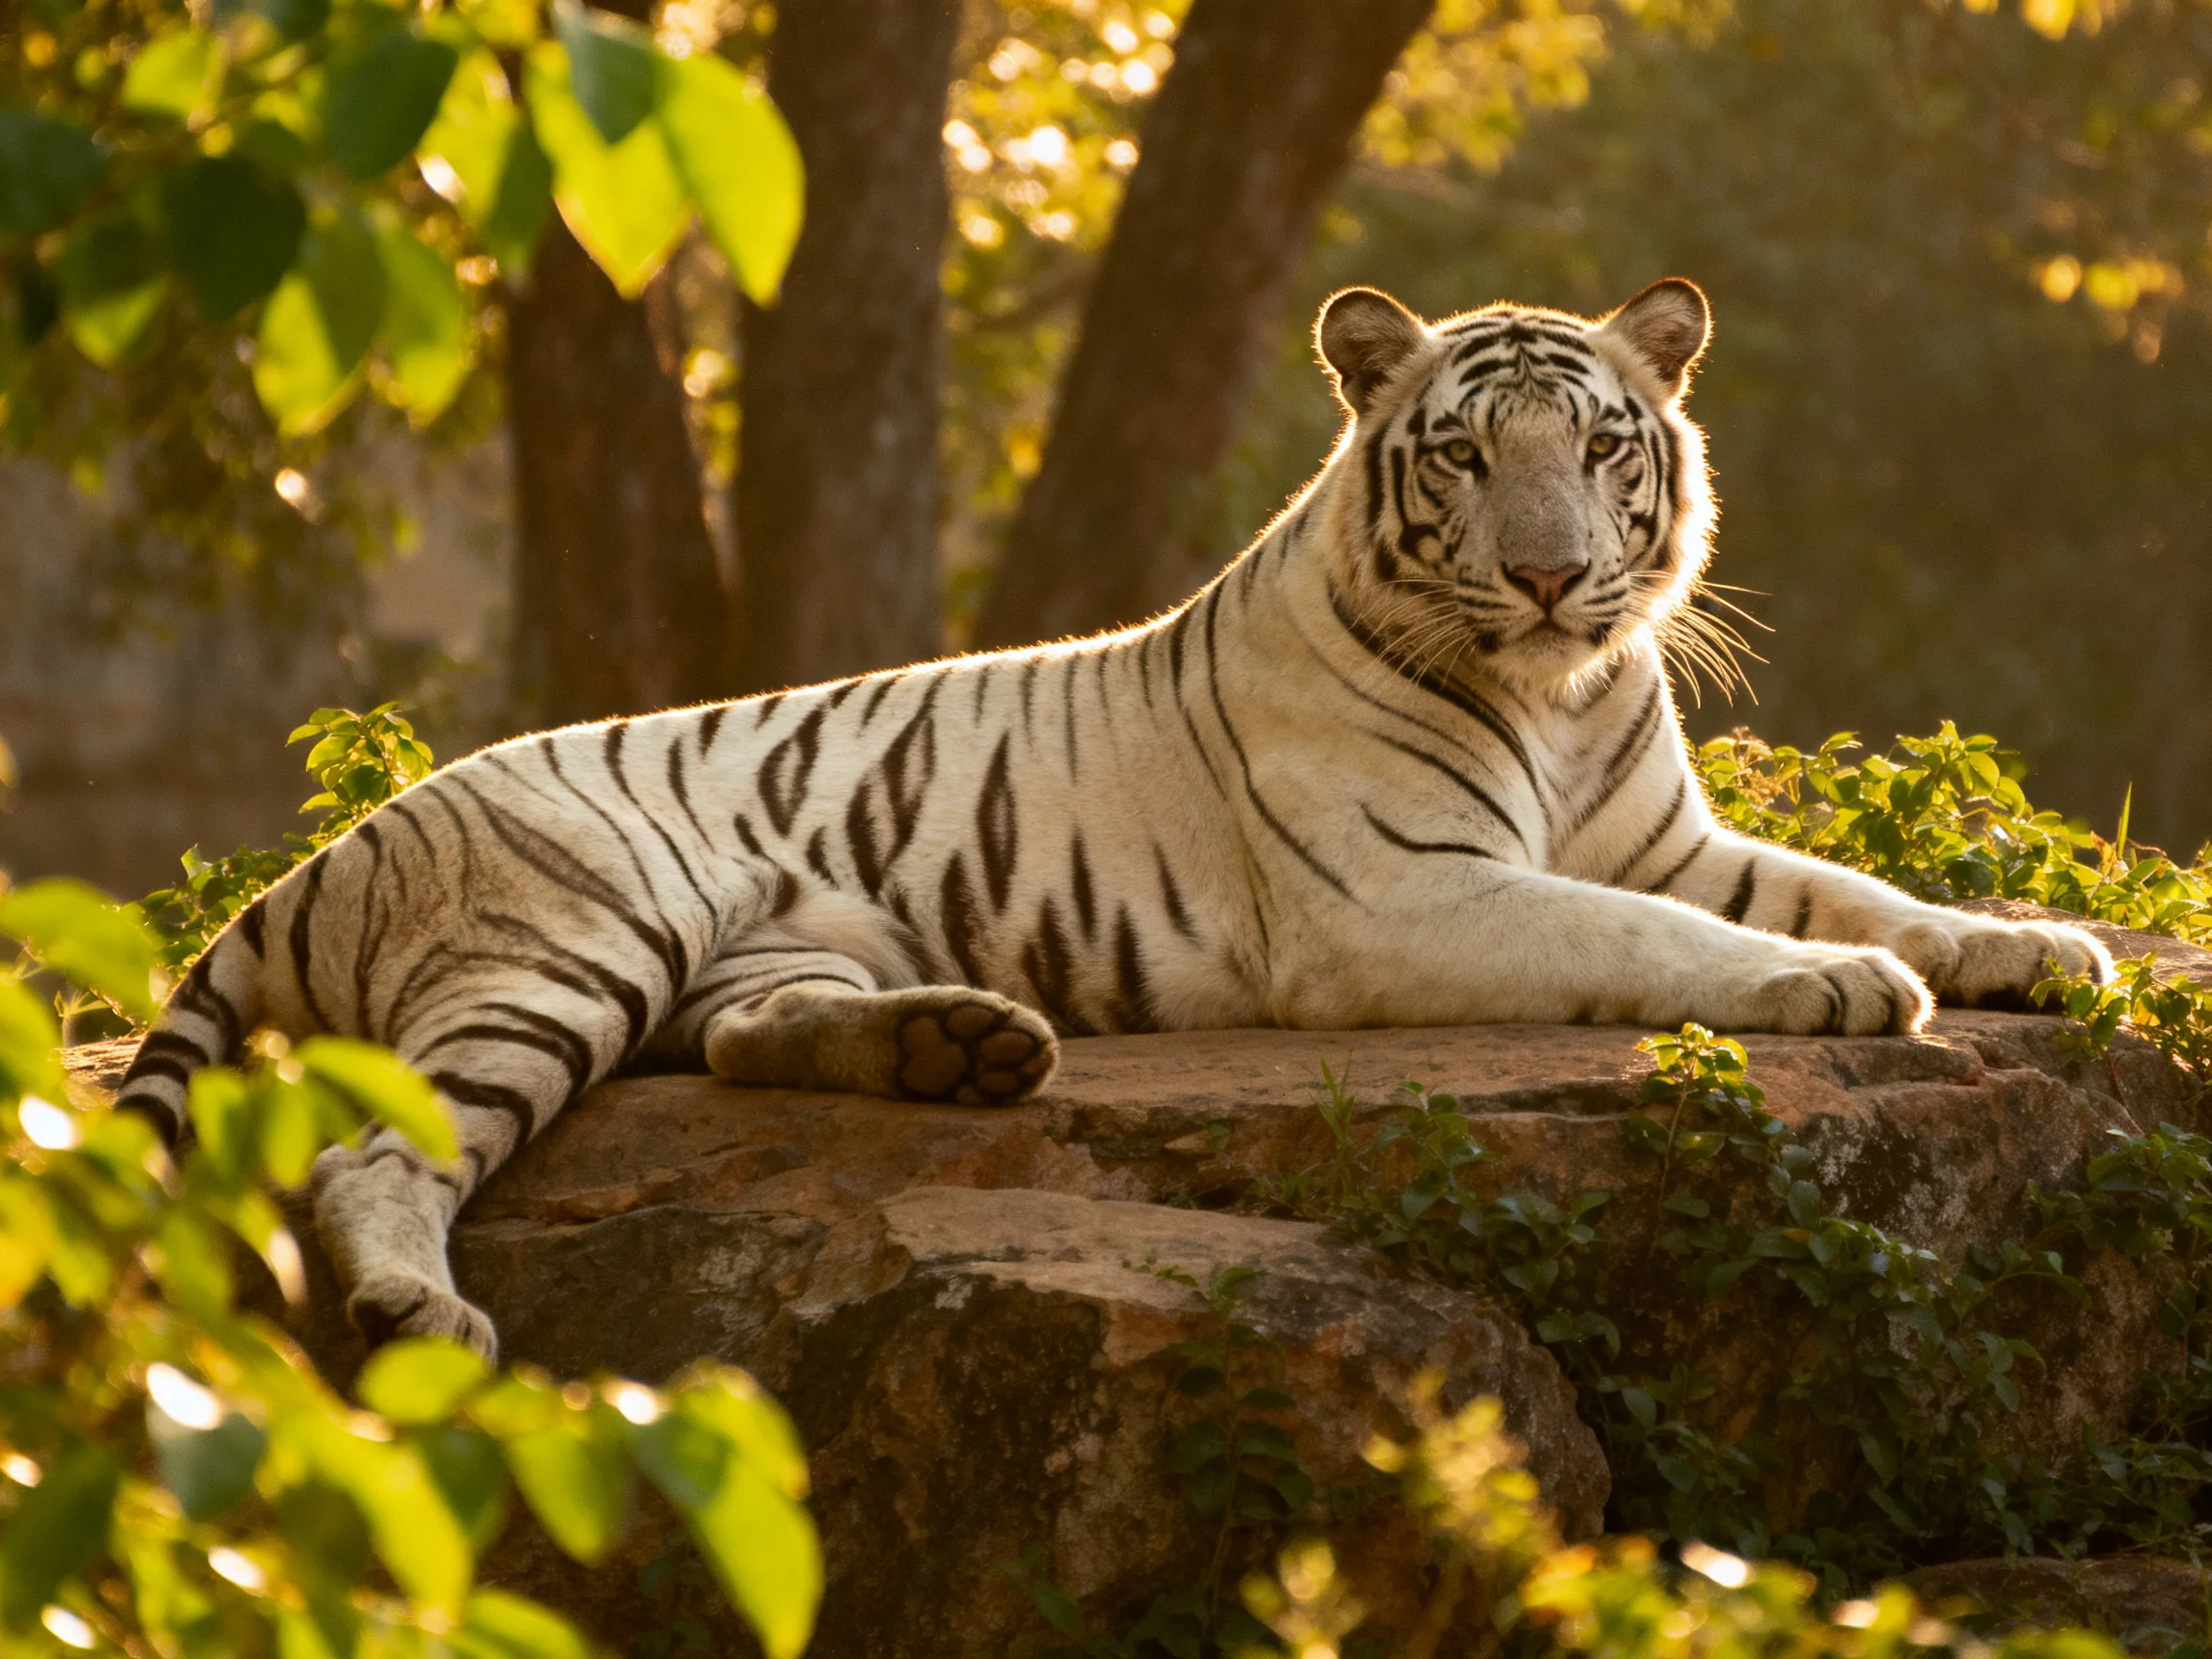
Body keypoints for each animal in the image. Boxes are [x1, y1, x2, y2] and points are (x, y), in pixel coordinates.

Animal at [116, 277, 2111, 1360]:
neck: (1556, 699)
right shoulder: (1408, 897)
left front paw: (2034, 949)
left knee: (748, 1035)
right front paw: (1830, 994)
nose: (1553, 577)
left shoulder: (1661, 838)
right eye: (1469, 454)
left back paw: (960, 1048)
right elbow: (1668, 940)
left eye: (1603, 445)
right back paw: (416, 1313)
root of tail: (346, 836)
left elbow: (1860, 885)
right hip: (572, 939)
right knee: (367, 1155)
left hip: (744, 954)